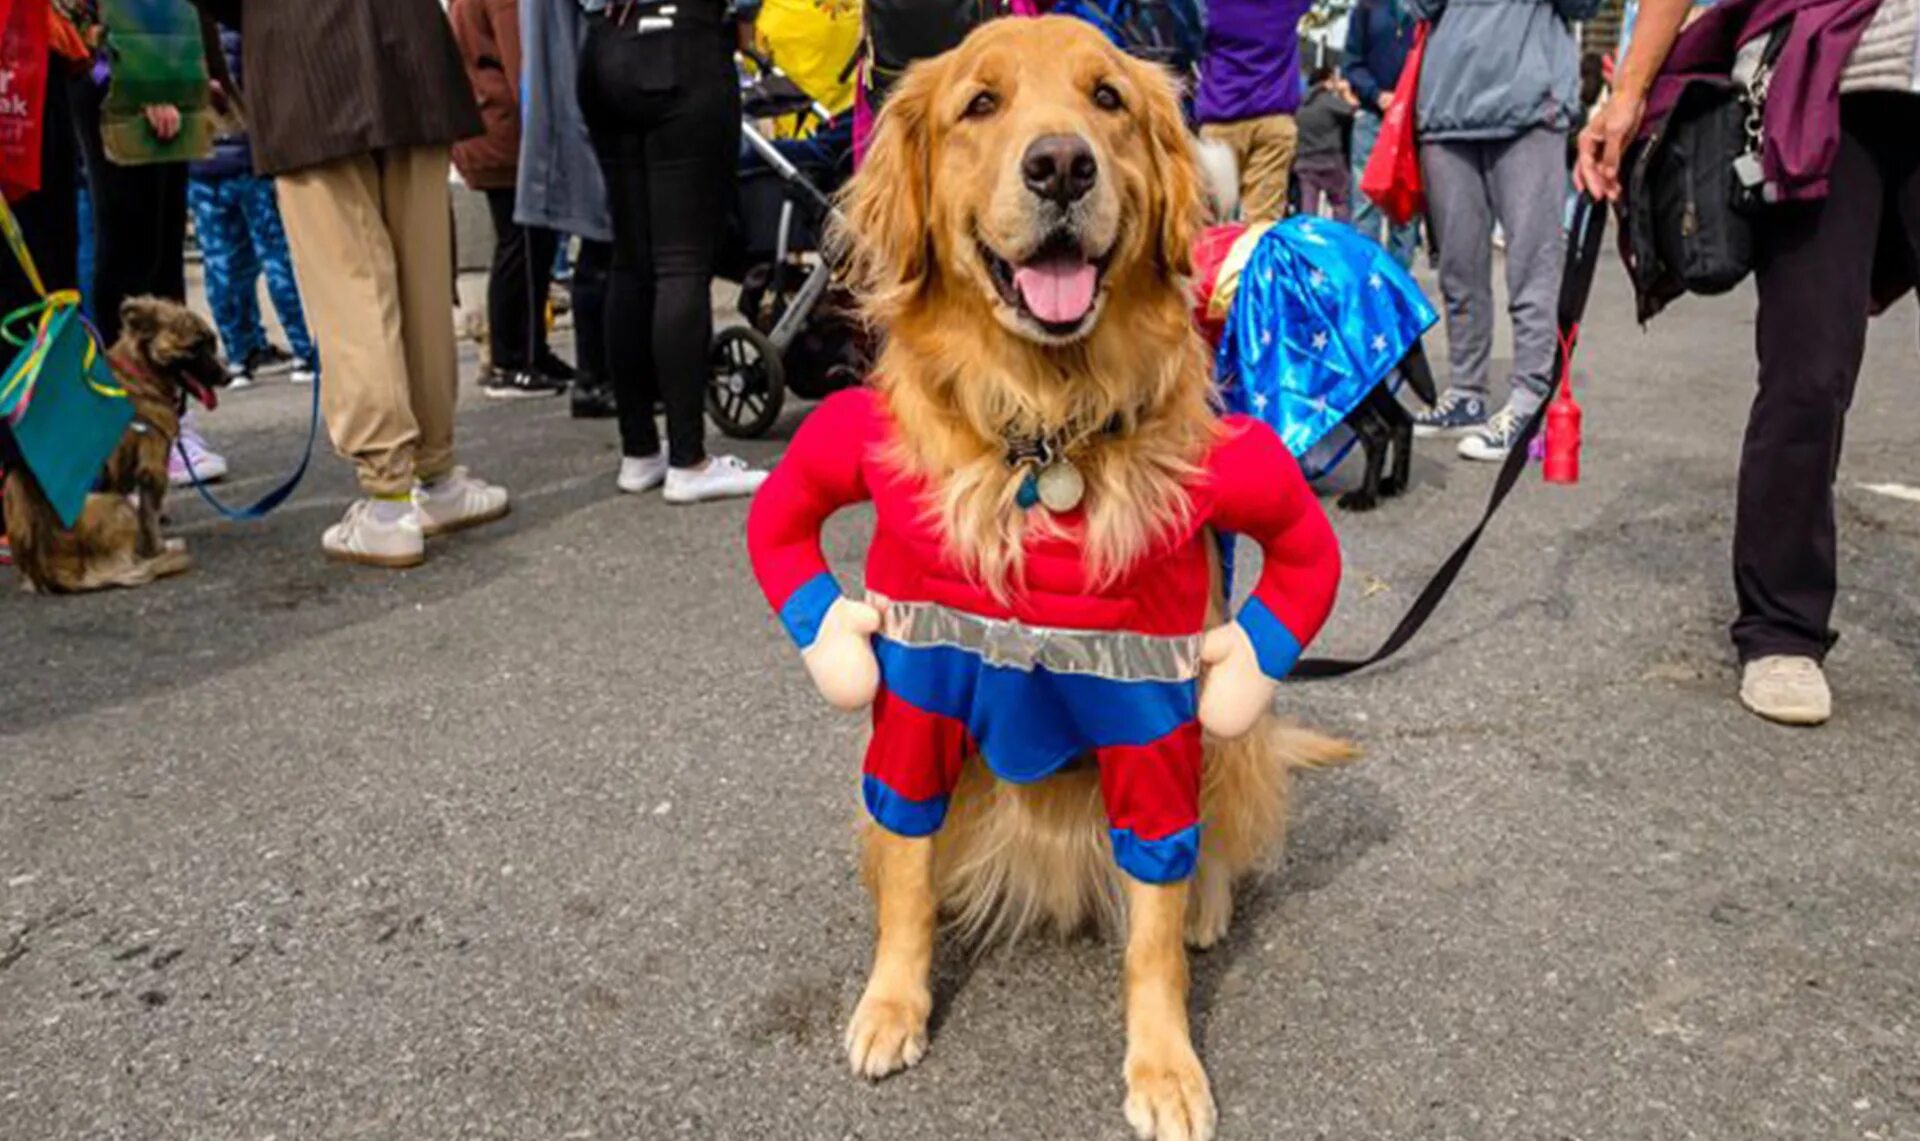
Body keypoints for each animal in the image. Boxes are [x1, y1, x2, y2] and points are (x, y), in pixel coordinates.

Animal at [4, 297, 230, 591]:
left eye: (212, 343)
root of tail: (51, 571)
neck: (139, 369)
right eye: (194, 347)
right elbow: (150, 517)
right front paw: (158, 547)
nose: (227, 377)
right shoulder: (153, 469)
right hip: (118, 503)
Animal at [833, 17, 1359, 1137]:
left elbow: (1151, 927)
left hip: (1233, 724)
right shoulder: (918, 690)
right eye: (980, 104)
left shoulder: (1150, 709)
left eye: (1108, 98)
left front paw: (1164, 1065)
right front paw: (893, 1000)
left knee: (1214, 844)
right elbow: (904, 870)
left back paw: (1208, 902)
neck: (1044, 435)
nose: (1062, 165)